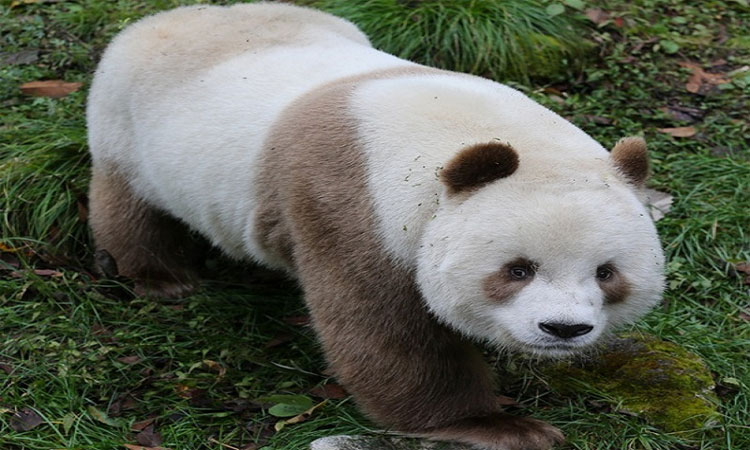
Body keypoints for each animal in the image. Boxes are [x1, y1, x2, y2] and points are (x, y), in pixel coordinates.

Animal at [86, 4, 665, 449]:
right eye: (517, 269)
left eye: (607, 273)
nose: (563, 329)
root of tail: (169, 16)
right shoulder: (351, 207)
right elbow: (383, 332)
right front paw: (498, 425)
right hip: (128, 125)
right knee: (130, 207)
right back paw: (163, 278)